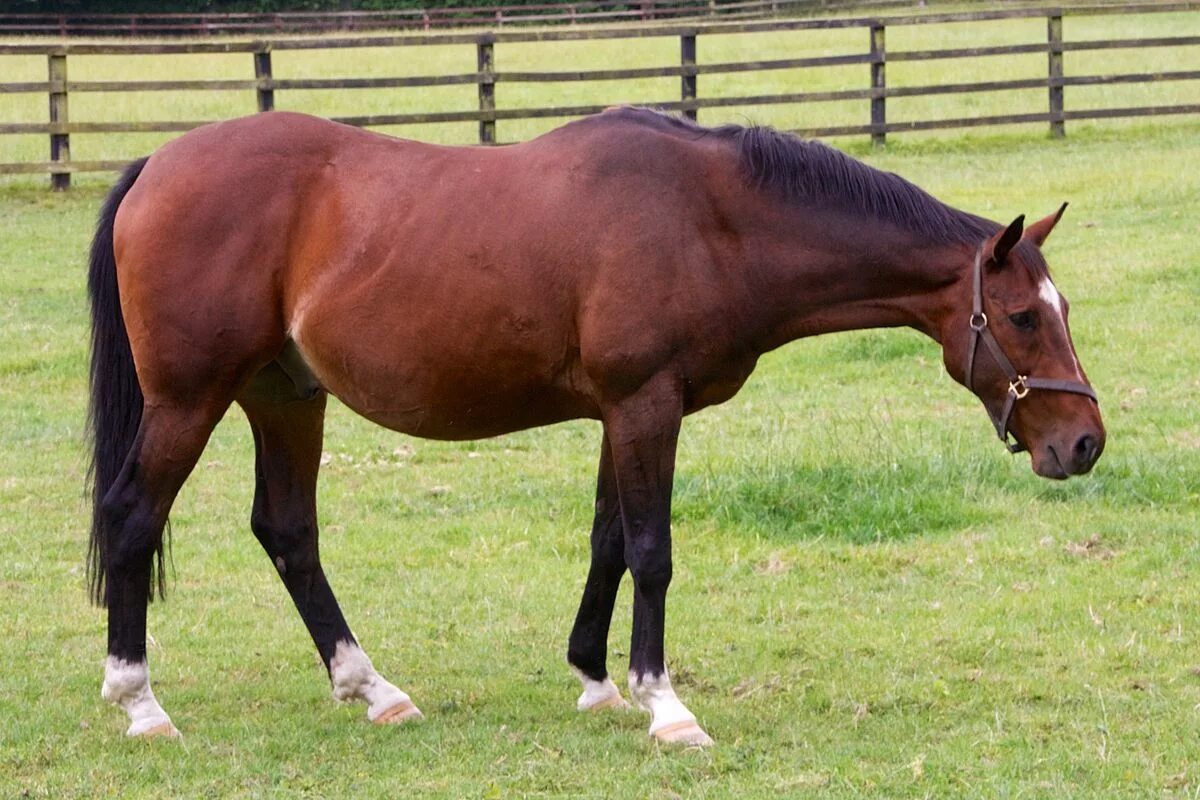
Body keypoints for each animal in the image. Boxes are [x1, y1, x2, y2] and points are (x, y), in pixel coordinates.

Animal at [87, 106, 1104, 743]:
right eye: (1022, 317)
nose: (1084, 442)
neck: (711, 219)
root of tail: (156, 166)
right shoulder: (645, 403)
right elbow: (651, 551)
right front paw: (667, 707)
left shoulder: (627, 412)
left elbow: (608, 542)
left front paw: (598, 680)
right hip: (192, 399)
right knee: (134, 519)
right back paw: (140, 703)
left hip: (285, 395)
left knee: (288, 531)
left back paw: (371, 688)